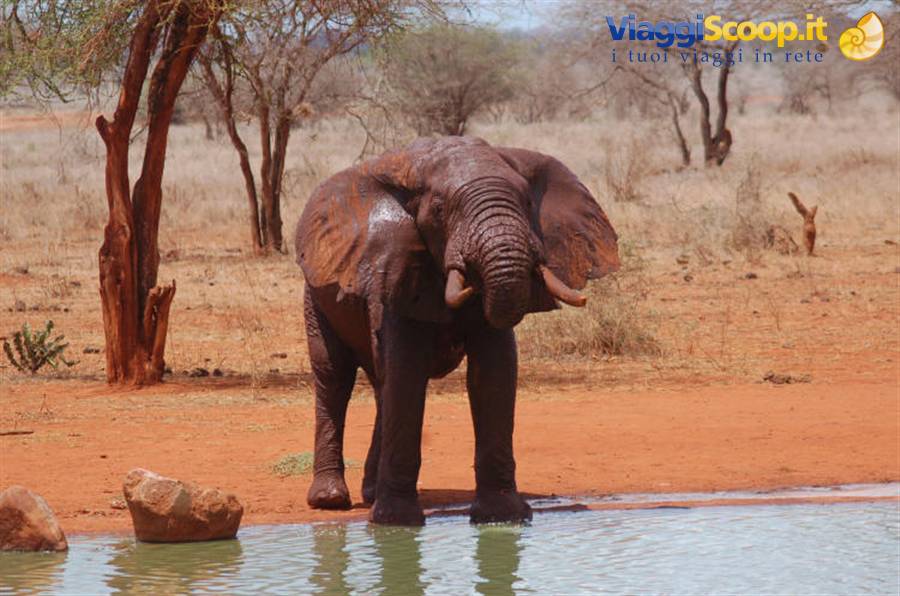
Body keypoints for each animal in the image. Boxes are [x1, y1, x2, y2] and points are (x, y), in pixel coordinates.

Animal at [295, 136, 619, 525]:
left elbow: (492, 371)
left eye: (527, 203)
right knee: (335, 377)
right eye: (438, 209)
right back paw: (330, 500)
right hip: (315, 293)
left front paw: (501, 518)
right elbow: (407, 370)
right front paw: (395, 524)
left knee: (381, 385)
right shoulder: (396, 266)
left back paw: (371, 493)